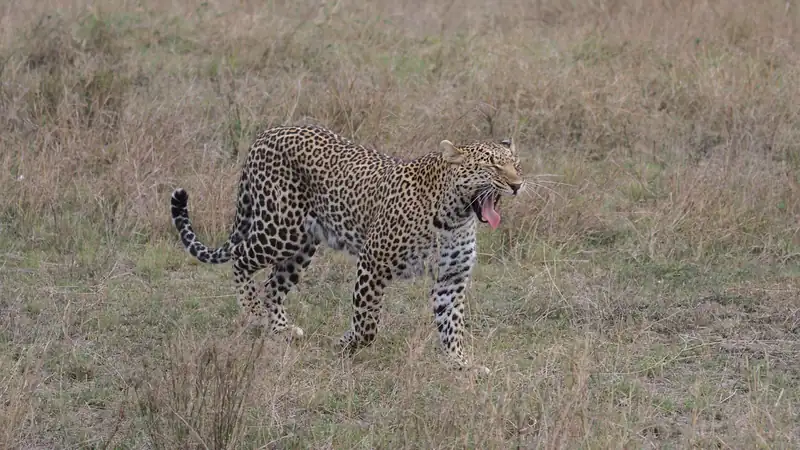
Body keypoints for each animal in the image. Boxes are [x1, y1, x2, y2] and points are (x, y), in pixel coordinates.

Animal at [170, 125, 524, 374]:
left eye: (517, 165)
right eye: (492, 166)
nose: (518, 185)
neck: (456, 215)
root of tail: (267, 133)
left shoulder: (452, 278)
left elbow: (451, 325)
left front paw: (461, 364)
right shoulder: (373, 262)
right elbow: (367, 323)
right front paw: (345, 344)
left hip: (302, 245)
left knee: (272, 286)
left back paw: (281, 329)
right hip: (280, 229)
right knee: (241, 260)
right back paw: (253, 313)